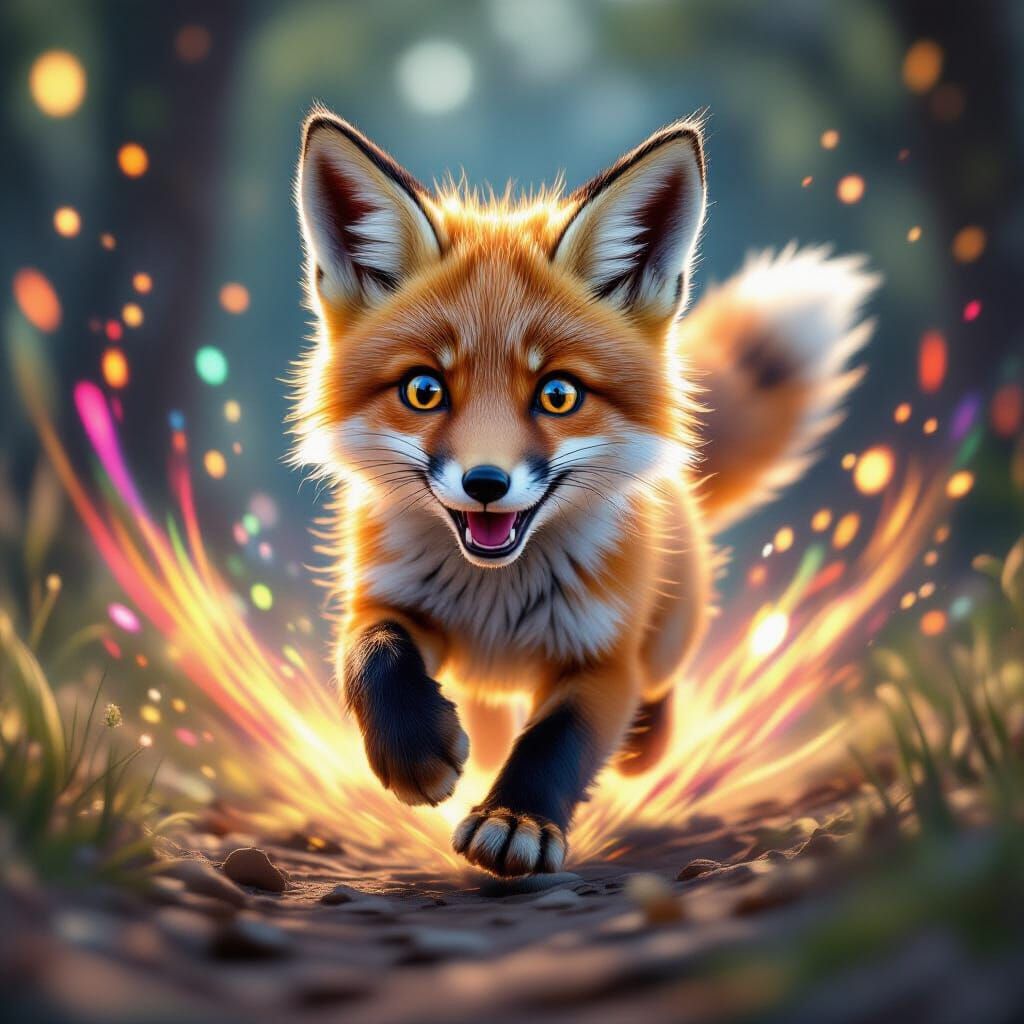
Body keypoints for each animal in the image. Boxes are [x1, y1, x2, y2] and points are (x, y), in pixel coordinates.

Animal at [290, 108, 879, 877]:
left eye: (558, 394)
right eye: (424, 390)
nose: (486, 484)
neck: (496, 599)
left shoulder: (600, 656)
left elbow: (558, 739)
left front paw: (517, 820)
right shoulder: (388, 599)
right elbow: (372, 654)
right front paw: (415, 750)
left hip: (667, 635)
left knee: (656, 684)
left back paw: (646, 741)